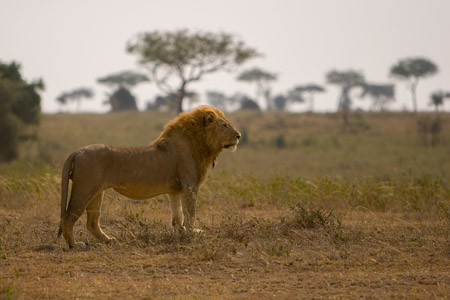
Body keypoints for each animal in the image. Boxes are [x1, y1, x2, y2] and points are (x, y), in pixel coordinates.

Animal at [59, 105, 243, 248]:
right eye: (225, 125)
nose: (239, 136)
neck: (201, 144)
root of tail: (77, 152)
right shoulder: (190, 185)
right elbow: (190, 212)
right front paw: (193, 233)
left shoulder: (175, 190)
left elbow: (177, 215)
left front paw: (179, 234)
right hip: (85, 188)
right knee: (67, 218)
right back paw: (75, 245)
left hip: (97, 192)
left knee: (92, 222)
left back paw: (110, 240)